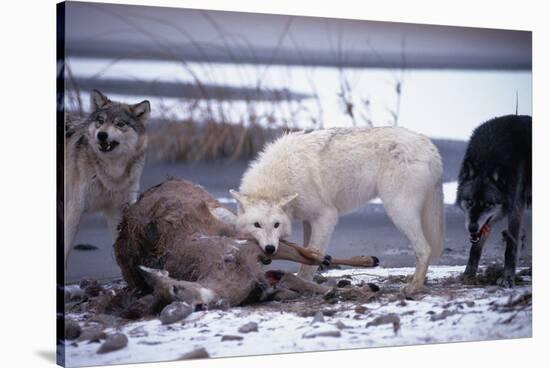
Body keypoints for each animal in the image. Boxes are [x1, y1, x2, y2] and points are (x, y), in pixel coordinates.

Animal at [64, 90, 151, 266]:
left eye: (120, 124)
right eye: (101, 121)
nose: (102, 135)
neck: (112, 175)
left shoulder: (118, 212)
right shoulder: (74, 210)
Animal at [231, 127, 446, 294]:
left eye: (276, 225)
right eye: (257, 225)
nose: (269, 249)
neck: (282, 179)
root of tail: (431, 147)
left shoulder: (326, 217)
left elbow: (310, 259)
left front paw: (301, 282)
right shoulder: (308, 220)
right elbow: (306, 252)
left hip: (399, 211)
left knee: (424, 249)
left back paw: (414, 286)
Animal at [460, 113, 532, 286]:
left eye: (488, 204)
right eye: (470, 202)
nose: (472, 228)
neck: (488, 157)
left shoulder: (516, 208)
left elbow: (511, 246)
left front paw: (507, 278)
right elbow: (475, 248)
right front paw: (468, 275)